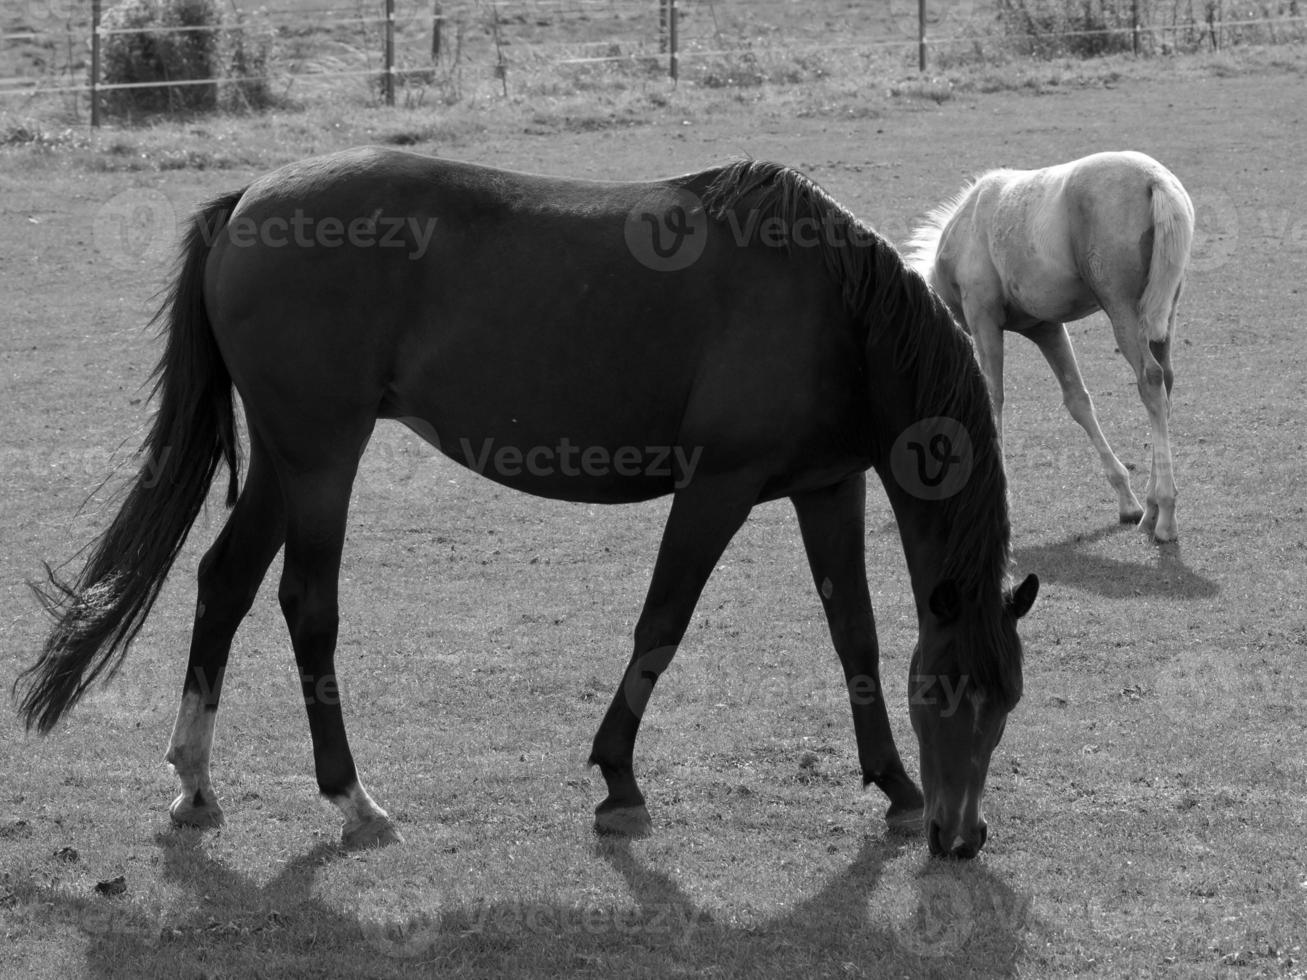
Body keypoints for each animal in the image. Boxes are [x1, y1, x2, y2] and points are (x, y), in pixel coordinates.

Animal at [20, 147, 1035, 857]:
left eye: (1006, 702)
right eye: (949, 695)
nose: (962, 838)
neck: (833, 311)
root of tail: (247, 203)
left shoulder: (825, 486)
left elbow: (853, 636)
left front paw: (894, 785)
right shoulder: (718, 488)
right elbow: (661, 624)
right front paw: (618, 780)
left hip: (283, 457)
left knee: (223, 583)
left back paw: (196, 783)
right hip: (321, 458)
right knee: (306, 606)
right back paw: (352, 799)